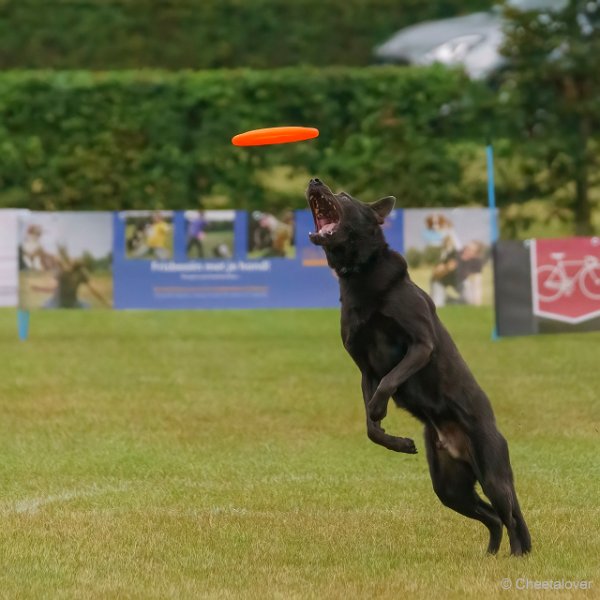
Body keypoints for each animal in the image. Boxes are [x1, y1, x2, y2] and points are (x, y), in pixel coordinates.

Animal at [308, 178, 532, 556]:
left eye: (344, 196)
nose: (314, 181)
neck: (361, 273)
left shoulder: (420, 344)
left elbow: (389, 383)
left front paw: (380, 409)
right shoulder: (365, 368)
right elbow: (370, 426)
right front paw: (395, 439)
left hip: (491, 473)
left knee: (511, 515)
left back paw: (516, 556)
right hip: (448, 486)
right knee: (493, 517)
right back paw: (490, 555)